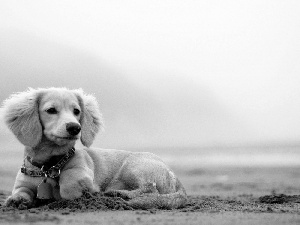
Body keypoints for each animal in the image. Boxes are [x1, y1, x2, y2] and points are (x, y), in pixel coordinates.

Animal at [1, 87, 186, 209]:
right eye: (51, 110)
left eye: (76, 111)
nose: (74, 128)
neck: (50, 165)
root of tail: (177, 181)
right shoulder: (23, 184)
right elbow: (21, 191)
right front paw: (17, 200)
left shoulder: (82, 173)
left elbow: (69, 181)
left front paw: (74, 192)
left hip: (134, 167)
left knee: (151, 188)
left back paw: (121, 194)